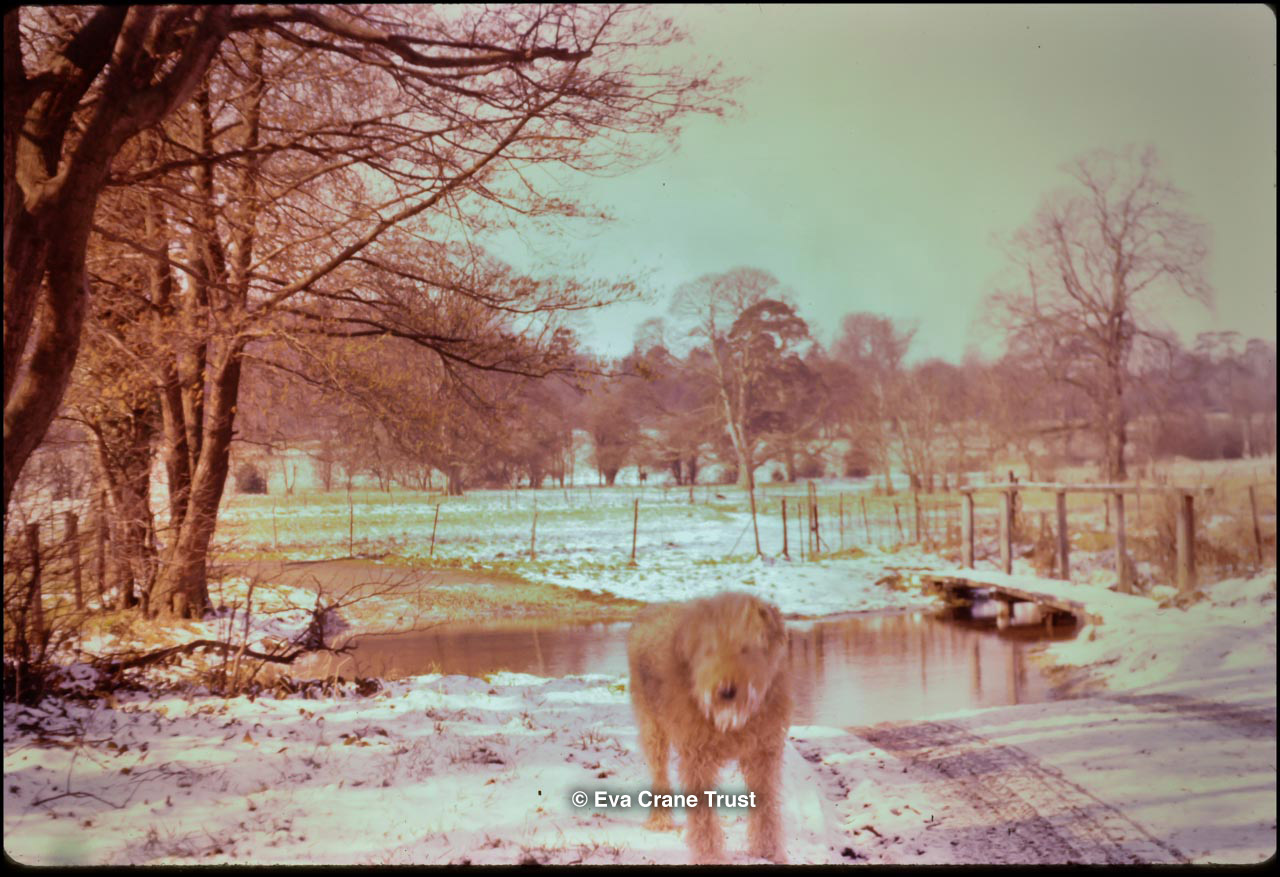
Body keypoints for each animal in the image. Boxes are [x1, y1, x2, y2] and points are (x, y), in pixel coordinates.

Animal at [626, 592, 791, 863]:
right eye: (710, 650)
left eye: (746, 648)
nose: (726, 690)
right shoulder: (697, 758)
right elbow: (704, 818)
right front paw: (710, 856)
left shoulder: (764, 753)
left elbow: (766, 808)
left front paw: (768, 852)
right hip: (652, 727)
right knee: (659, 772)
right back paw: (660, 819)